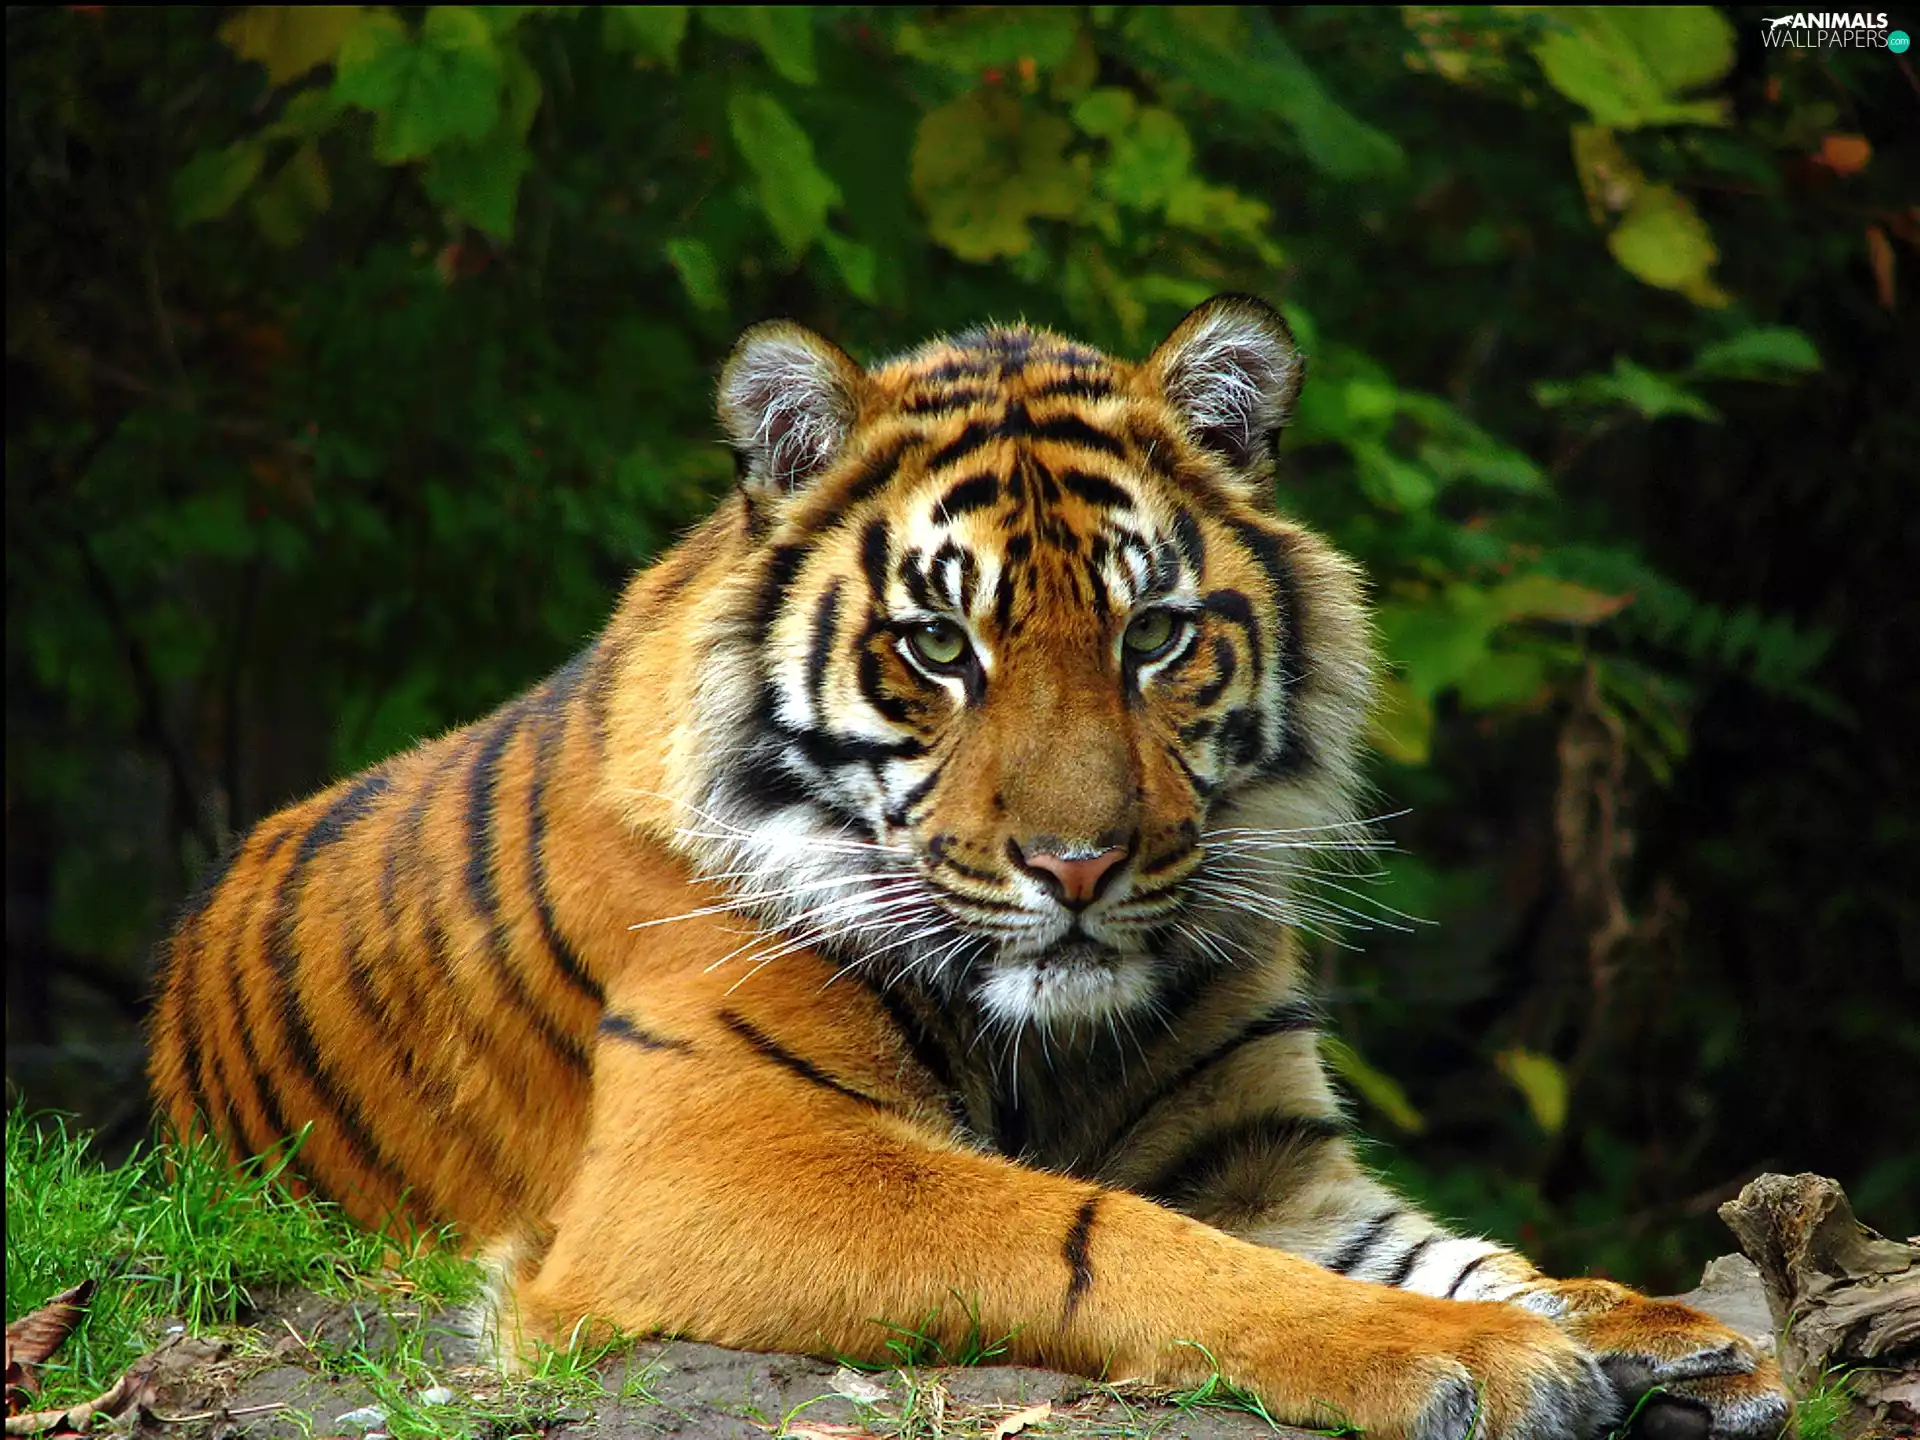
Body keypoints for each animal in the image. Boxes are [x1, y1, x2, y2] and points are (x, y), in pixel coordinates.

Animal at [149, 296, 1789, 1440]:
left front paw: (1656, 1329)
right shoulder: (716, 1165)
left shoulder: (1263, 1157)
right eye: (942, 646)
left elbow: (1455, 1248)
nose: (1079, 864)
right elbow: (1100, 1237)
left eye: (1154, 636)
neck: (1044, 1040)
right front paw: (1473, 1360)